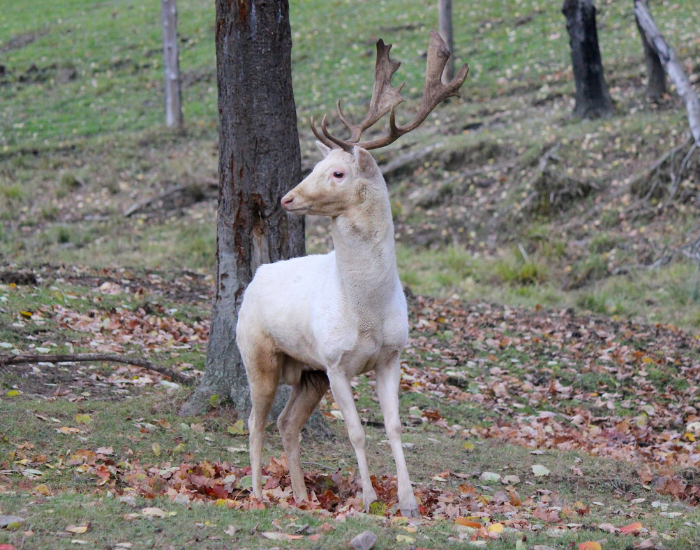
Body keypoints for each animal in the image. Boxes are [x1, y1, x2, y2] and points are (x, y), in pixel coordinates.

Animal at [236, 31, 468, 518]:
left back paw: (302, 496)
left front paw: (408, 502)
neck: (367, 310)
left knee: (286, 422)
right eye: (314, 167)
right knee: (254, 420)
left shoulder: (391, 355)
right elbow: (357, 431)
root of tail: (255, 277)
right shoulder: (336, 360)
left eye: (338, 172)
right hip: (258, 354)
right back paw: (258, 494)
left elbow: (394, 427)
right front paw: (367, 498)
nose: (286, 198)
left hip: (308, 373)